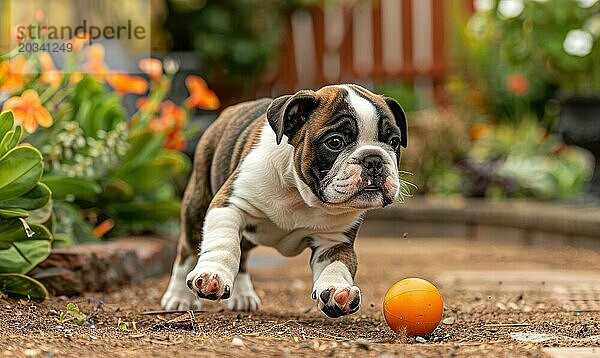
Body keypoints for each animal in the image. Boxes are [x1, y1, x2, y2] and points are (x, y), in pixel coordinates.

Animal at [162, 84, 408, 318]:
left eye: (394, 141)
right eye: (335, 142)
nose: (373, 159)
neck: (301, 195)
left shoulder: (334, 240)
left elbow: (337, 265)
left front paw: (337, 291)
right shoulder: (230, 204)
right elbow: (224, 243)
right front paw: (213, 275)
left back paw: (242, 296)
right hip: (196, 207)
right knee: (187, 252)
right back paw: (178, 298)